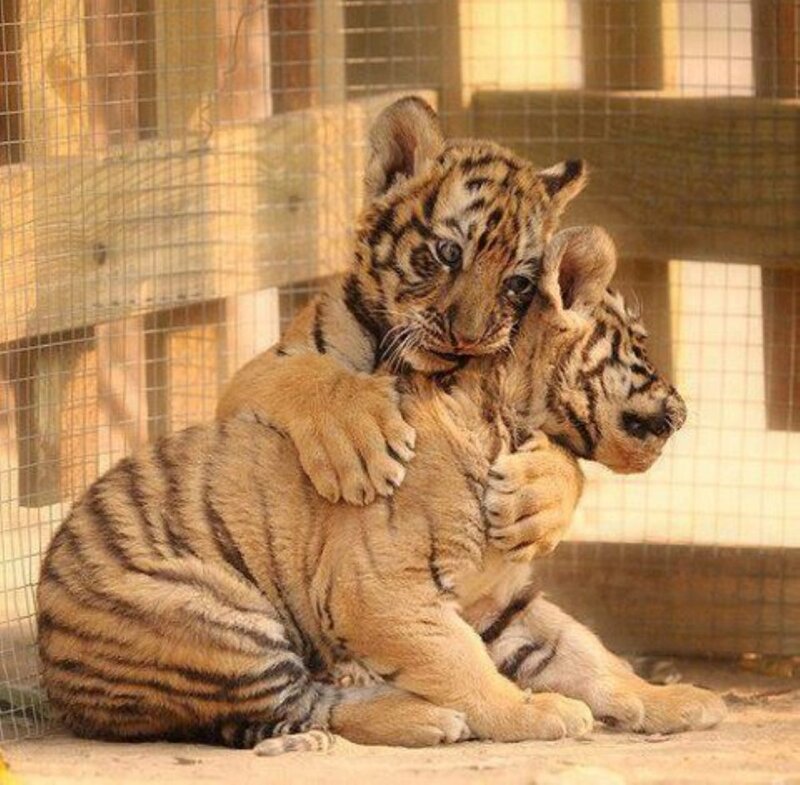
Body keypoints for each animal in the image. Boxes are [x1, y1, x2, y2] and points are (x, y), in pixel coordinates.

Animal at [36, 226, 727, 752]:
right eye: (640, 344)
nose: (685, 413)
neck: (511, 425)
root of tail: (54, 680)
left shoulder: (497, 599)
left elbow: (585, 651)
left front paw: (671, 699)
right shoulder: (384, 594)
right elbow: (463, 662)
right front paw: (532, 711)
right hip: (217, 615)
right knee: (307, 702)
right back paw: (427, 718)